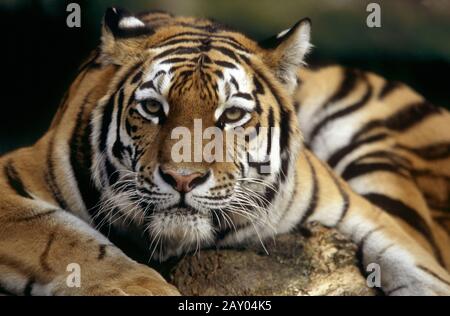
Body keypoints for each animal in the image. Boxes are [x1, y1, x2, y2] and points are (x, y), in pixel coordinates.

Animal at [0, 8, 448, 296]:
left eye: (231, 114)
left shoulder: (372, 219)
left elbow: (419, 271)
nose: (183, 178)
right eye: (153, 108)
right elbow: (67, 242)